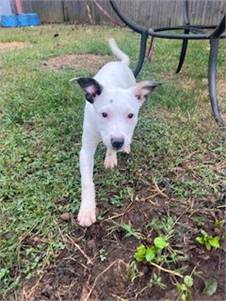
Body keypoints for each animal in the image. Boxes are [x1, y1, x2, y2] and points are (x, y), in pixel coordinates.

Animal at [71, 38, 159, 225]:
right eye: (103, 114)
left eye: (130, 115)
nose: (118, 142)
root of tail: (120, 63)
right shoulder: (86, 150)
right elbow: (87, 182)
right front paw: (87, 210)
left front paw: (112, 156)